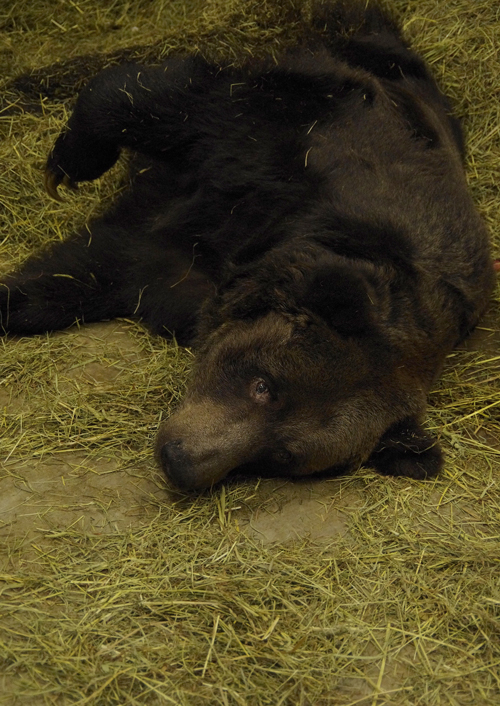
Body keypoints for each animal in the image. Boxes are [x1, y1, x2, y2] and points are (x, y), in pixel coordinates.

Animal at [0, 1, 494, 490]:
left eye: (281, 456)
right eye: (264, 385)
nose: (181, 461)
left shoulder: (174, 269)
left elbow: (87, 268)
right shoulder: (285, 142)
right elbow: (163, 100)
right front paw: (67, 163)